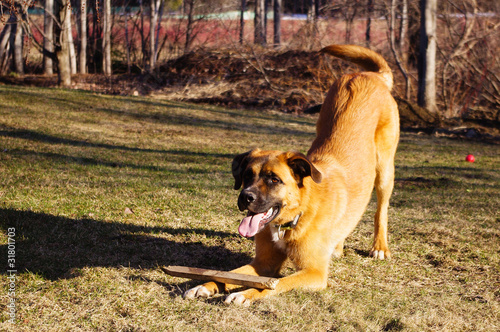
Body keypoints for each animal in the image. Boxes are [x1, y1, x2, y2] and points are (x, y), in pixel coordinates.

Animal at [184, 44, 398, 304]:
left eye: (274, 179)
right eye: (247, 176)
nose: (245, 197)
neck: (294, 217)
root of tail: (369, 75)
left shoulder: (313, 273)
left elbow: (273, 285)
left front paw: (243, 294)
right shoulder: (262, 263)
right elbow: (227, 273)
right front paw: (204, 285)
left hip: (384, 170)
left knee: (381, 210)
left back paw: (380, 247)